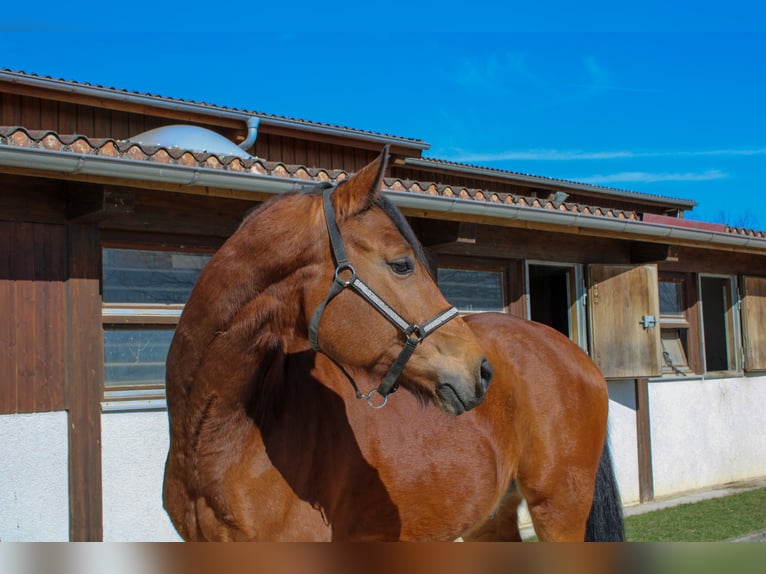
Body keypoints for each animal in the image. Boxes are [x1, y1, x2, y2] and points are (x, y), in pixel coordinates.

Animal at [162, 147, 624, 541]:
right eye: (402, 264)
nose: (481, 371)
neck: (220, 437)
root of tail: (571, 351)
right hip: (492, 518)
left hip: (559, 509)